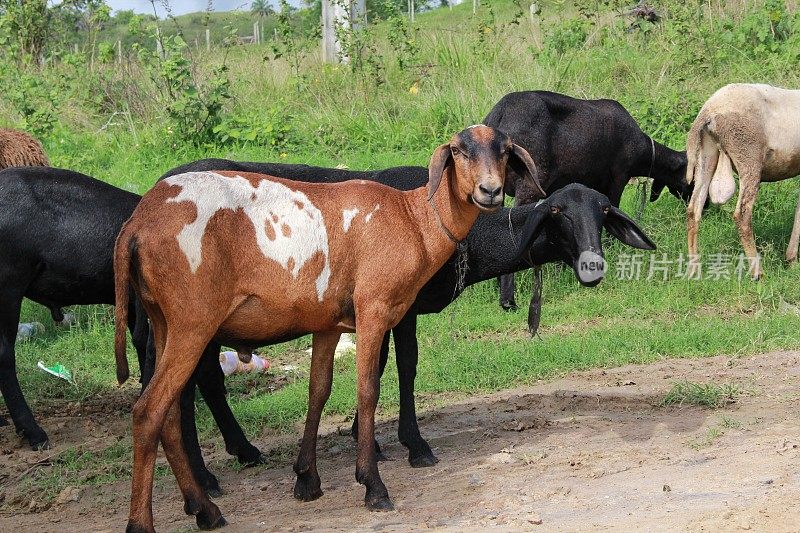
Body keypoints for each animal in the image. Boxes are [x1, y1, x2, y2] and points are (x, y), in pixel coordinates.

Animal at [112, 125, 540, 532]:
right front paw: (372, 484)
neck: (413, 218)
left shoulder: (328, 323)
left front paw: (306, 480)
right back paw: (144, 521)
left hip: (163, 319)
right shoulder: (374, 308)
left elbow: (318, 391)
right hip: (192, 321)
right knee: (149, 411)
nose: (490, 191)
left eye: (505, 151)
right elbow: (368, 390)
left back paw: (206, 510)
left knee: (168, 415)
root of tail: (136, 224)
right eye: (457, 150)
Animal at [684, 83, 800, 278]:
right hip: (748, 155)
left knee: (694, 209)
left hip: (705, 155)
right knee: (742, 214)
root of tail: (709, 110)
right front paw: (792, 261)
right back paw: (758, 273)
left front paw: (791, 261)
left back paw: (693, 270)